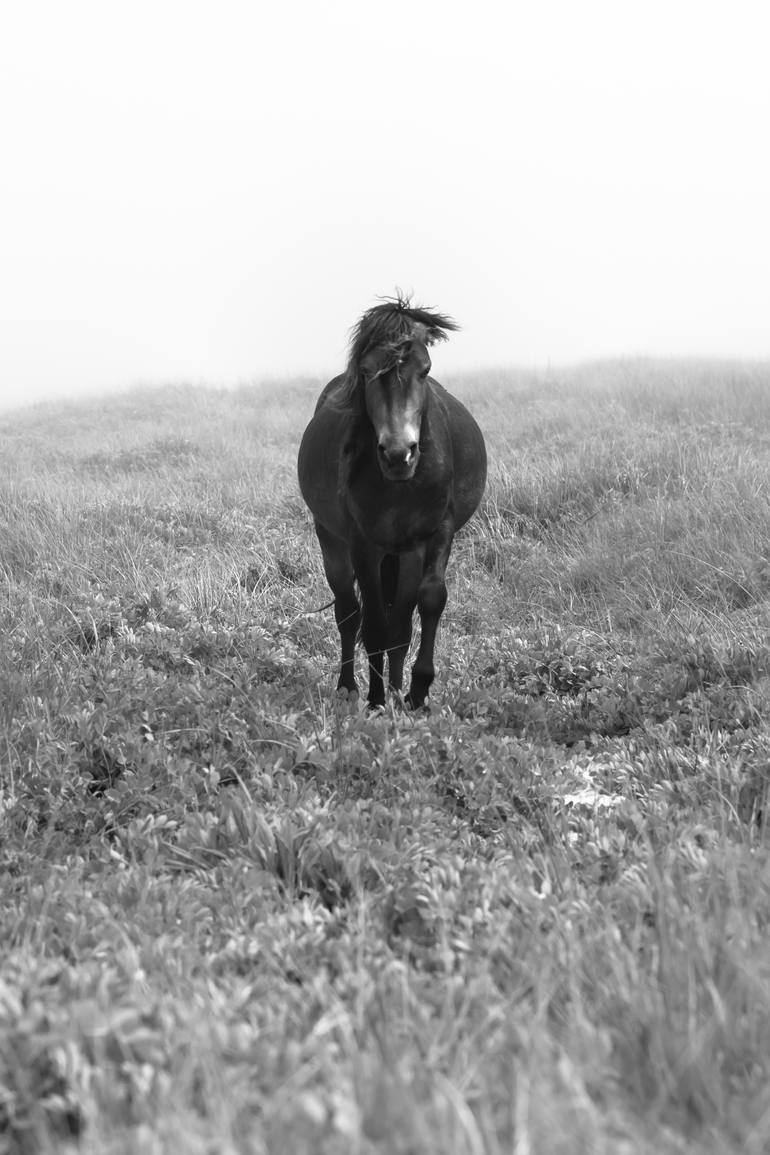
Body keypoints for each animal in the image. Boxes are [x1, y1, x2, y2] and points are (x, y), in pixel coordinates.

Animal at [297, 295, 484, 711]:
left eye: (425, 369)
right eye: (367, 371)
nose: (400, 454)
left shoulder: (435, 533)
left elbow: (427, 603)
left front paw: (416, 692)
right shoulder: (363, 543)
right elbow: (374, 626)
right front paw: (376, 700)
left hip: (404, 554)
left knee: (400, 621)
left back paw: (398, 689)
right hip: (333, 539)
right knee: (348, 612)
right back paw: (349, 688)